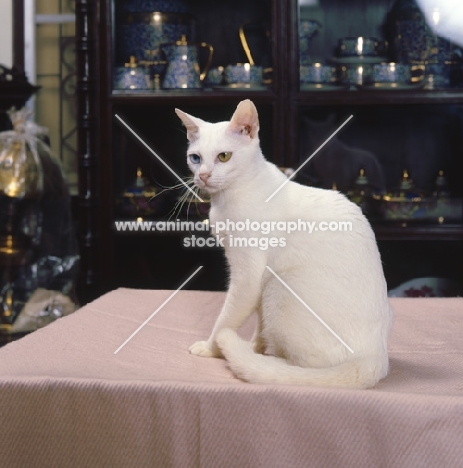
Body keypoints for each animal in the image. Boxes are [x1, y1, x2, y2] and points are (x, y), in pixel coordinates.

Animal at [176, 99, 394, 388]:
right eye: (195, 158)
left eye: (224, 156)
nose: (203, 175)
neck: (226, 198)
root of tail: (377, 356)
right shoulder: (259, 280)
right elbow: (259, 324)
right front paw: (254, 347)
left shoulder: (248, 275)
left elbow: (226, 319)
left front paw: (212, 348)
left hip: (279, 289)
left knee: (306, 368)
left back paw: (273, 365)